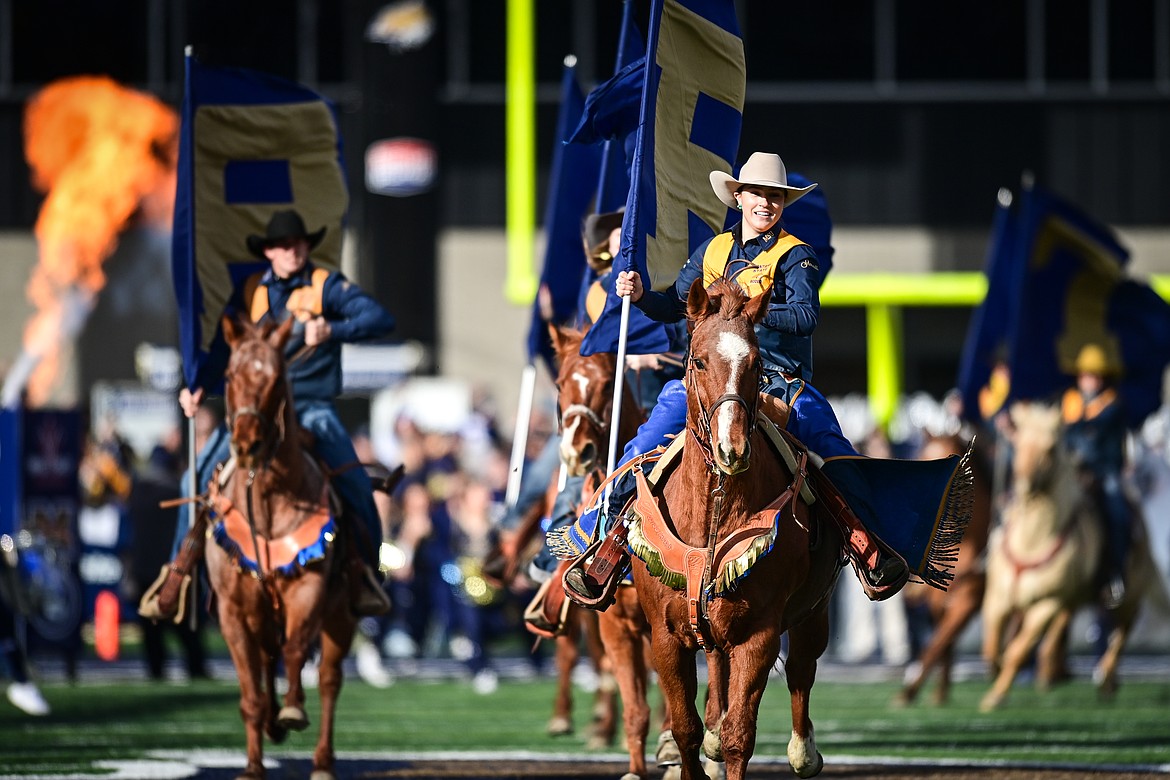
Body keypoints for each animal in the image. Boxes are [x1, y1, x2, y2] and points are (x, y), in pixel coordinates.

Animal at [205, 313, 358, 776]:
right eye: (230, 375)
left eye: (275, 377)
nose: (247, 444)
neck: (269, 498)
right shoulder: (233, 611)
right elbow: (251, 693)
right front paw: (253, 765)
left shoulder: (308, 591)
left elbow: (295, 651)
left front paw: (292, 710)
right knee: (269, 662)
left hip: (341, 613)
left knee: (328, 679)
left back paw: (322, 759)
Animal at [627, 280, 847, 780]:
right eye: (698, 360)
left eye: (757, 363)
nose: (732, 449)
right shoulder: (664, 635)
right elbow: (685, 730)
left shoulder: (759, 634)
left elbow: (738, 735)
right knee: (716, 671)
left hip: (815, 611)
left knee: (802, 669)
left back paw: (804, 752)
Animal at [978, 402, 1151, 715]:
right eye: (1018, 443)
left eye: (1050, 448)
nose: (1024, 486)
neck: (1032, 541)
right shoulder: (997, 599)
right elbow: (992, 647)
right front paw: (995, 674)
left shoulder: (1046, 605)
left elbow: (1017, 651)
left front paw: (995, 696)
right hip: (1071, 600)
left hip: (1128, 594)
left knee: (1123, 629)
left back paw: (1106, 677)